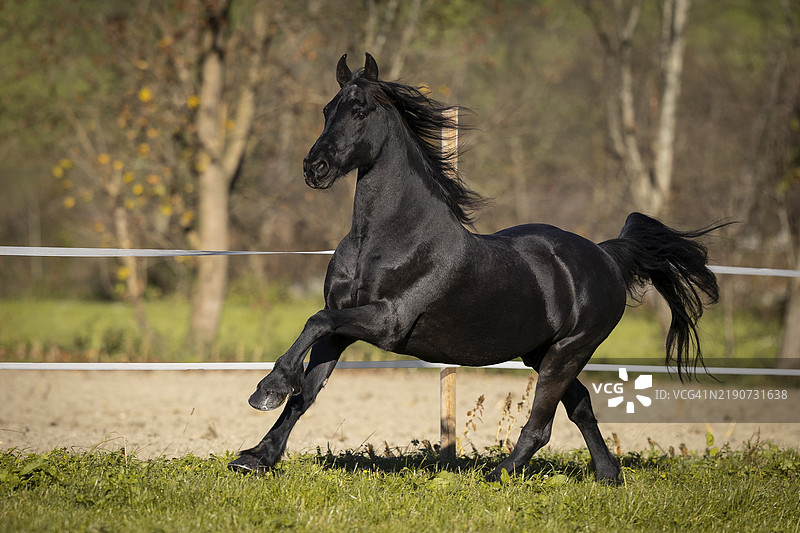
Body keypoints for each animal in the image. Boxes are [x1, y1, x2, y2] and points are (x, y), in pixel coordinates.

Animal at [229, 53, 722, 483]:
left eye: (360, 110)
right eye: (327, 109)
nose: (315, 167)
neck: (384, 239)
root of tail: (605, 256)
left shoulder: (387, 322)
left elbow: (314, 321)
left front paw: (267, 388)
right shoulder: (343, 329)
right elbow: (306, 392)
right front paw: (255, 456)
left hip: (569, 351)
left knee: (542, 422)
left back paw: (498, 474)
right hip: (540, 351)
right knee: (580, 404)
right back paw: (608, 476)